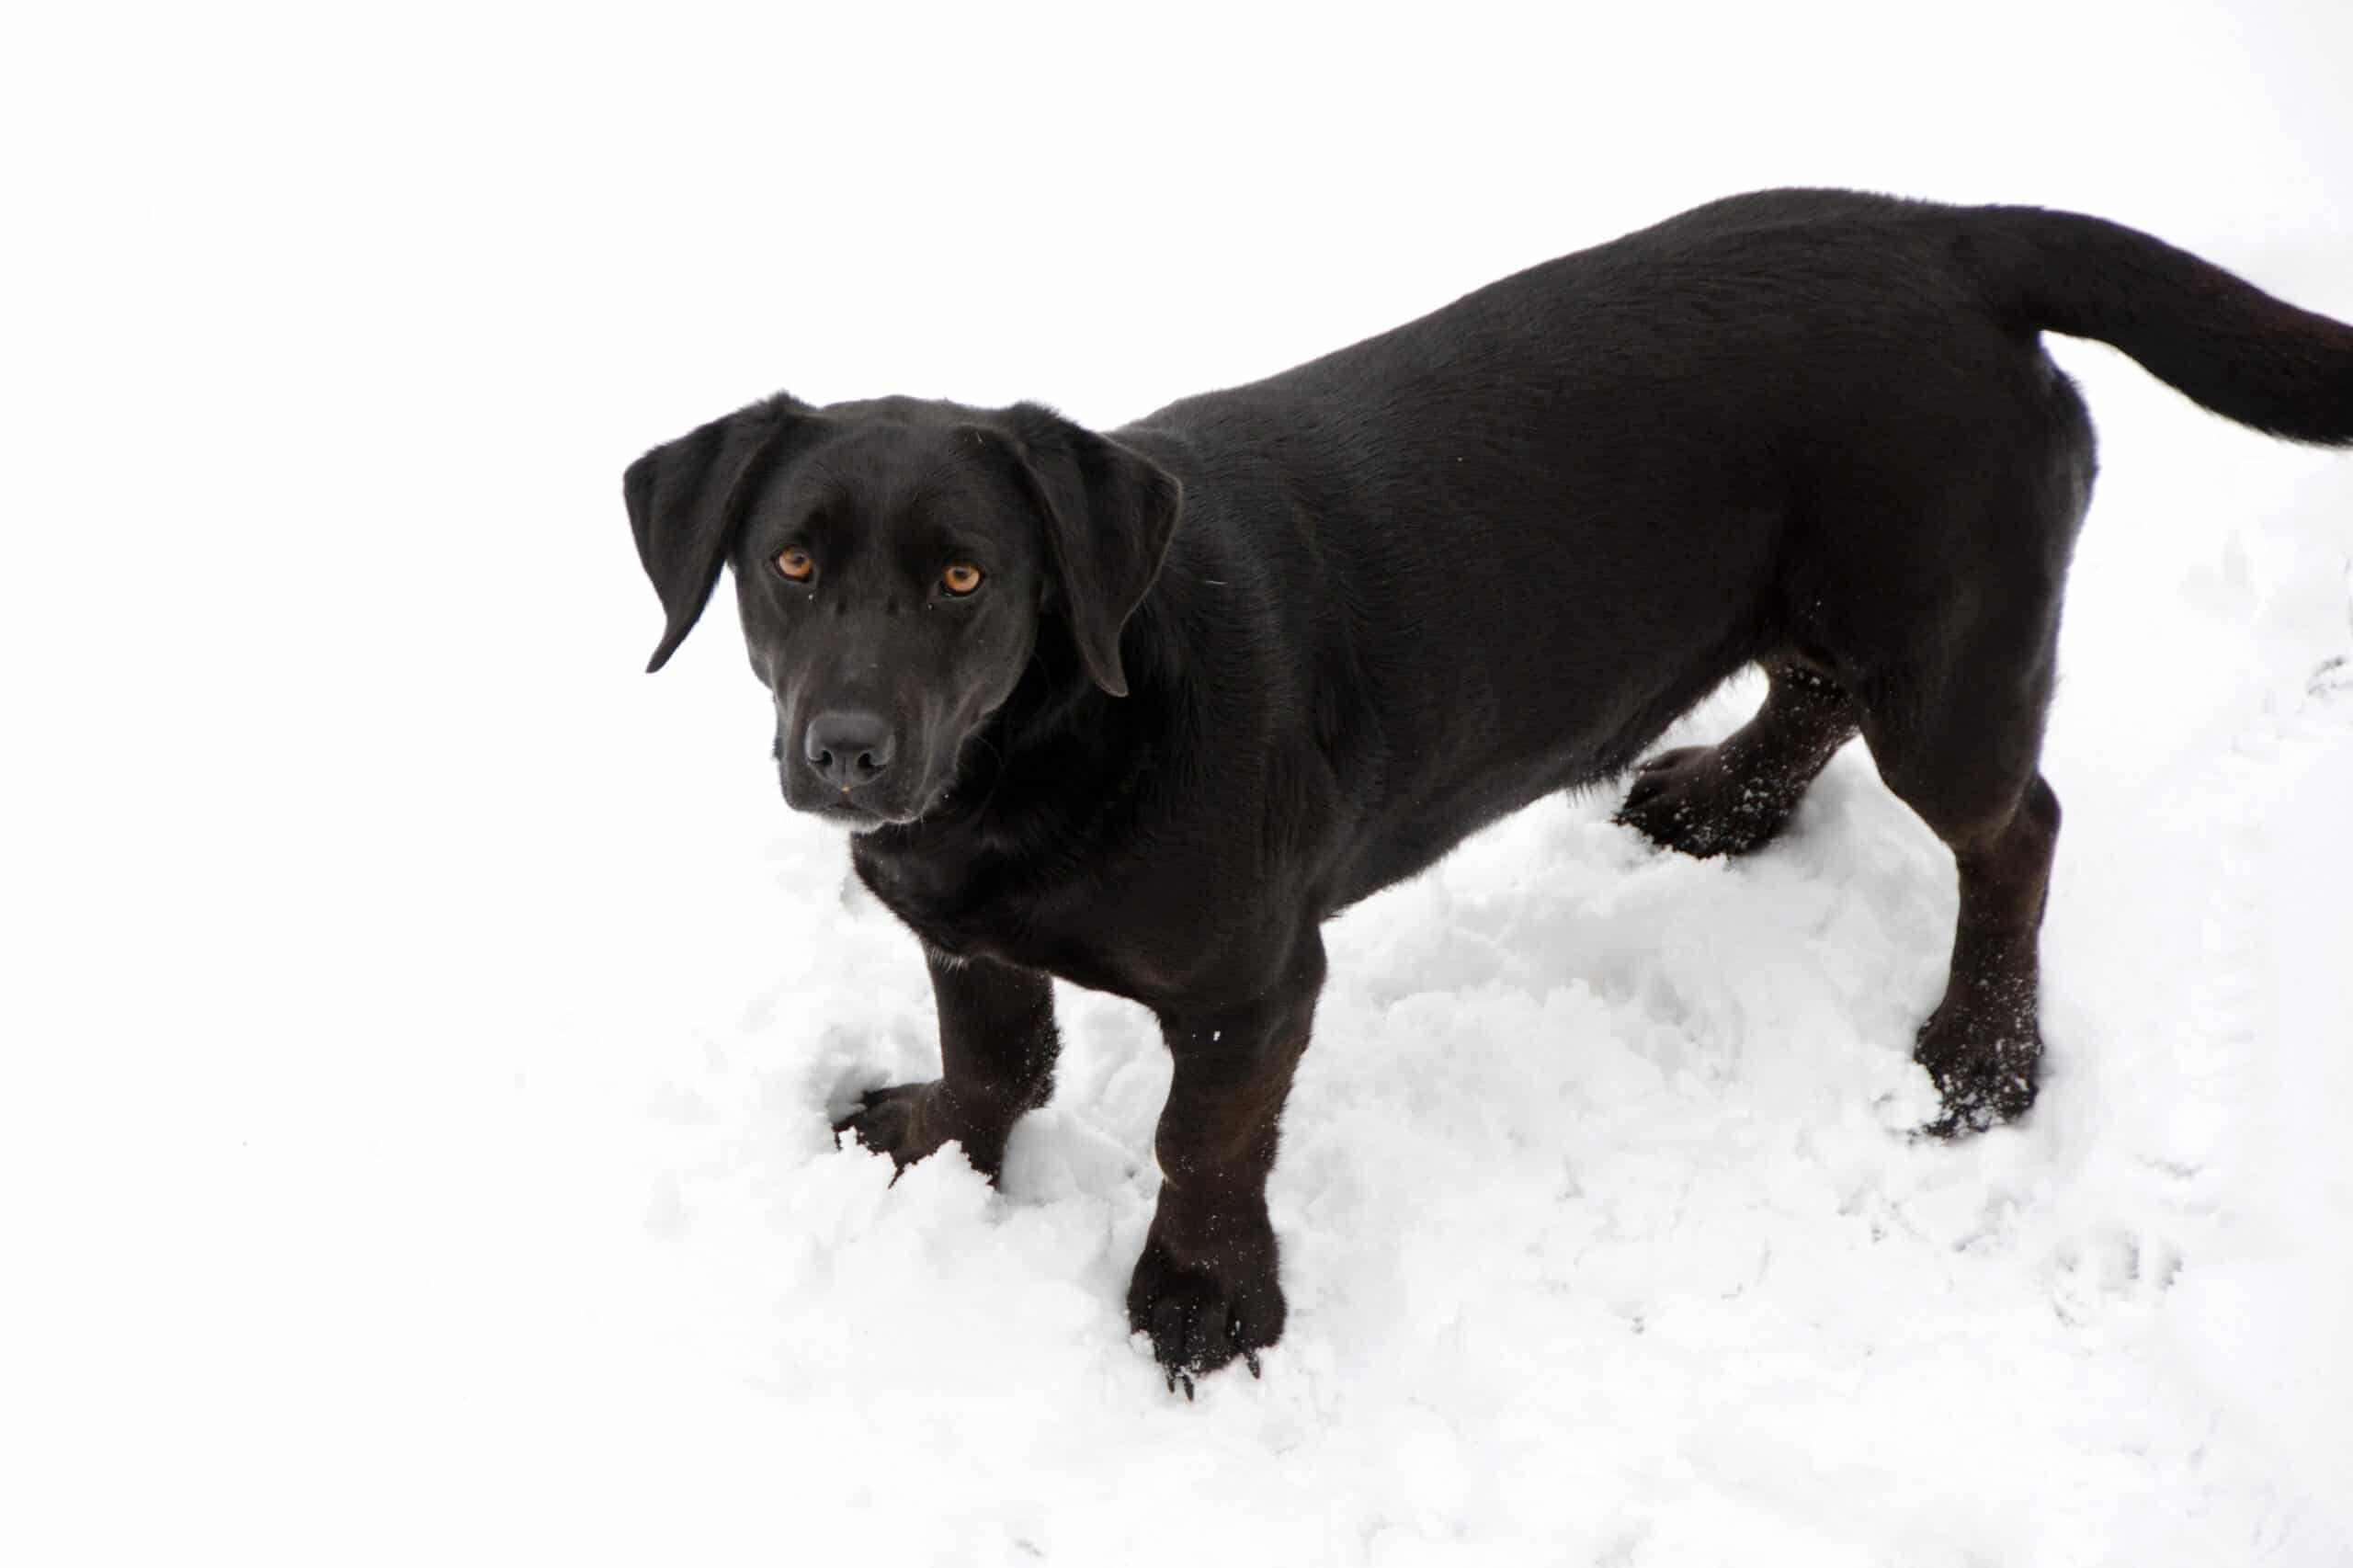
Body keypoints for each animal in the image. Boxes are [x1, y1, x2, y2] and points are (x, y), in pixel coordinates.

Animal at [631, 189, 2353, 1384]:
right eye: (791, 563)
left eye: (966, 576)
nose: (848, 750)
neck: (1048, 746)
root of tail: (1949, 234)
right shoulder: (959, 928)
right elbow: (992, 1056)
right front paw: (933, 1144)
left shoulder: (1256, 985)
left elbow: (1203, 1144)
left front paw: (1203, 1301)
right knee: (1812, 688)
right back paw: (1727, 806)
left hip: (1949, 658)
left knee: (2017, 831)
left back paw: (1983, 1055)